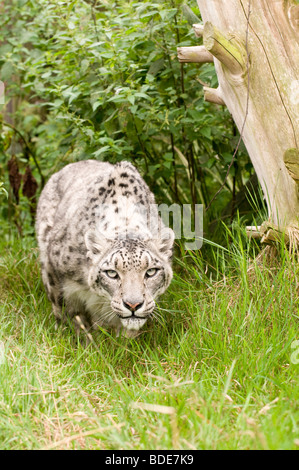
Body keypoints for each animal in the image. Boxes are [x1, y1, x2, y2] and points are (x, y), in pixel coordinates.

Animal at [36, 161, 175, 338]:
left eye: (151, 271)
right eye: (111, 273)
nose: (133, 305)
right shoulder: (55, 276)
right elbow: (71, 317)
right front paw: (80, 340)